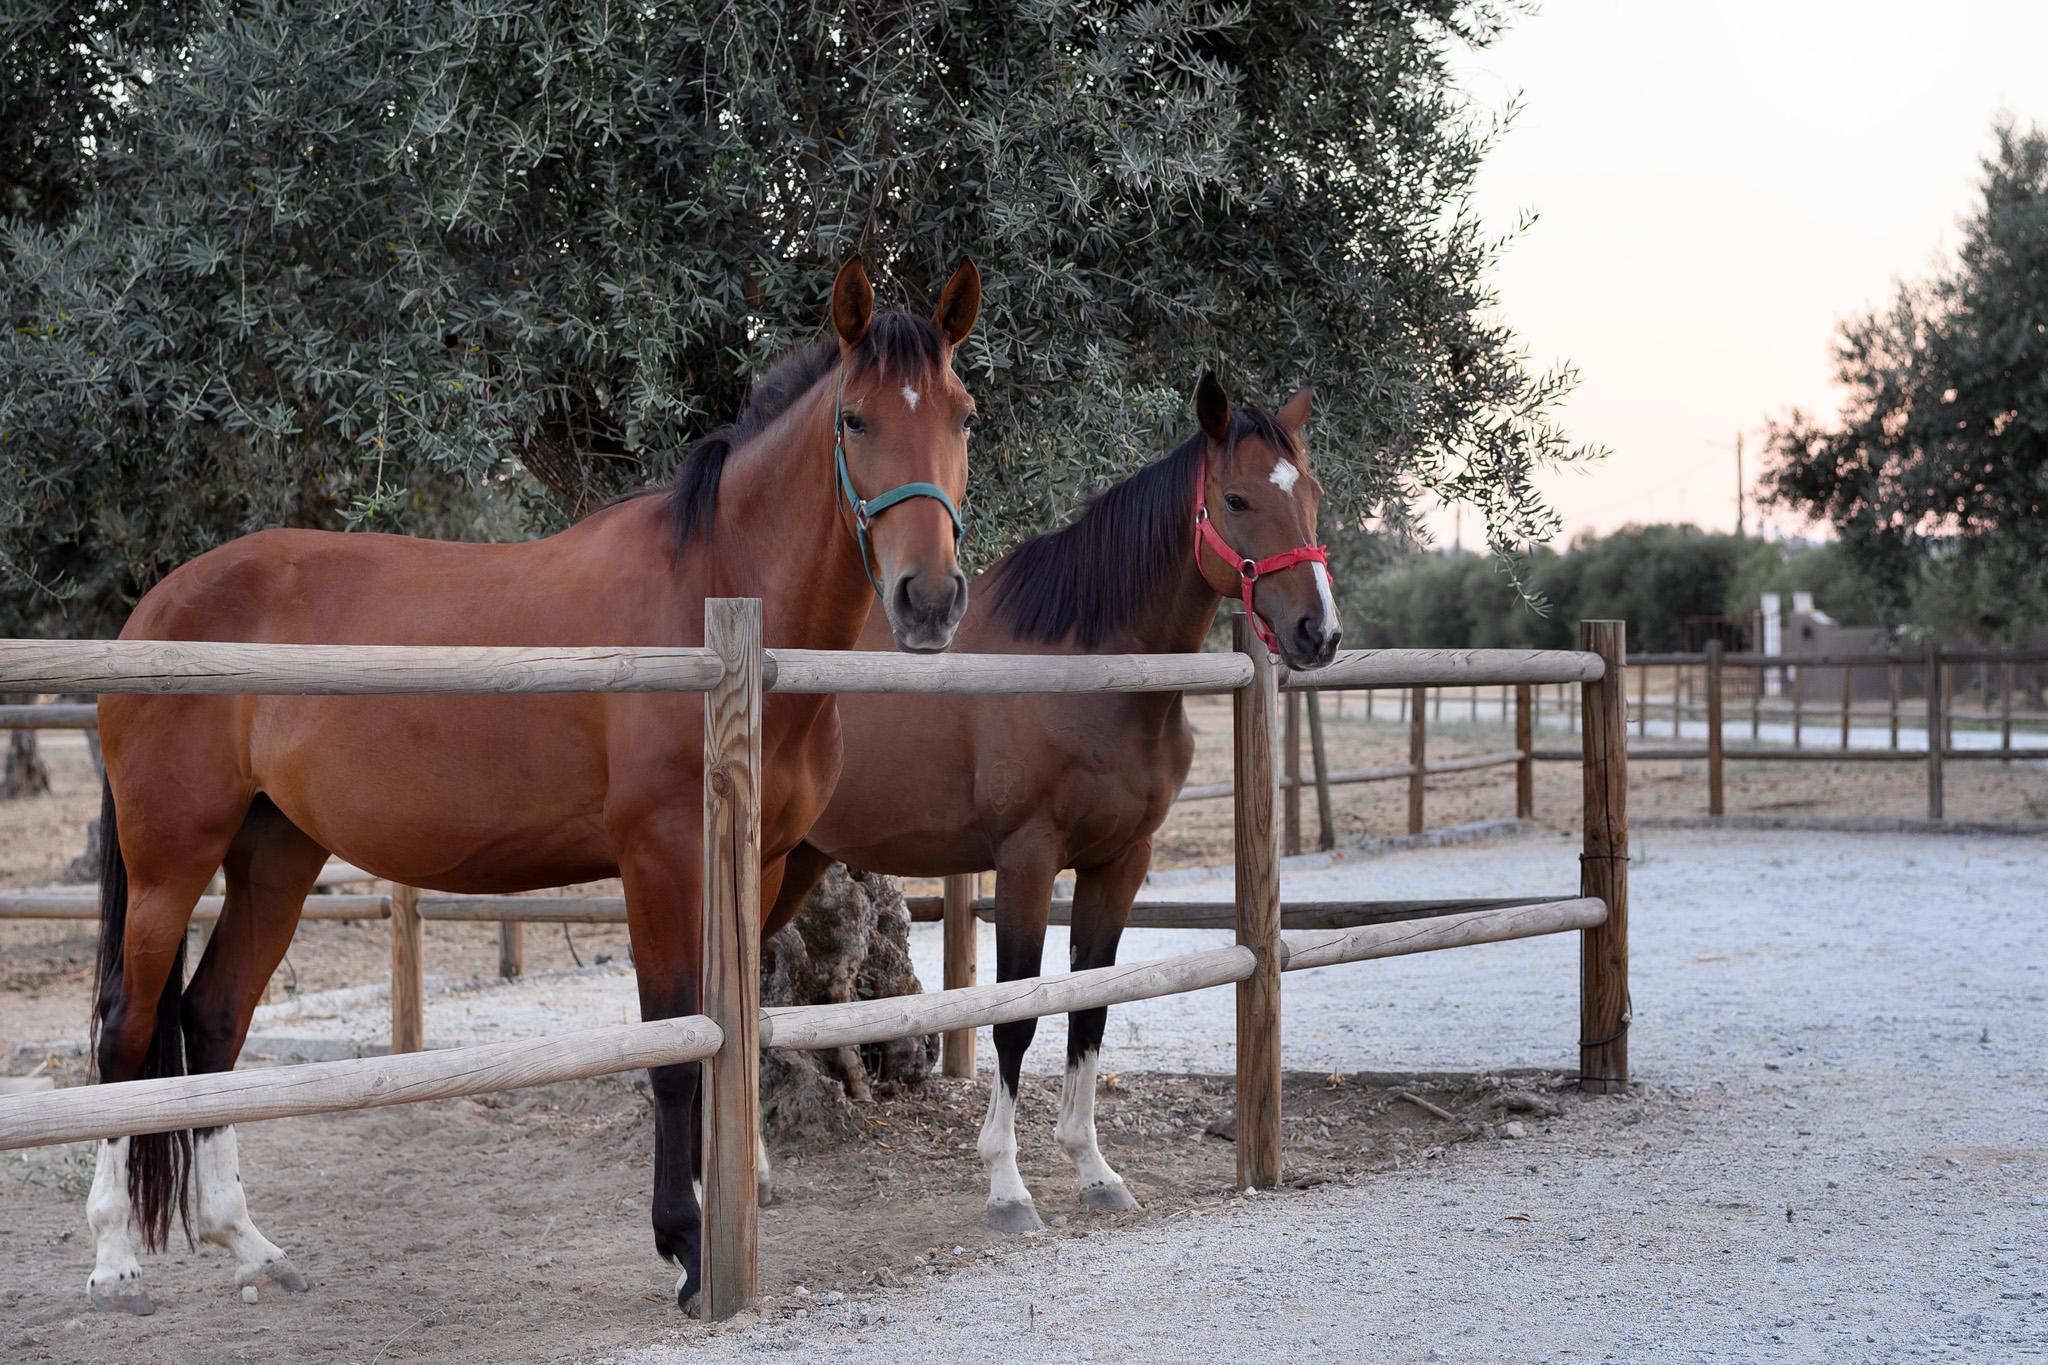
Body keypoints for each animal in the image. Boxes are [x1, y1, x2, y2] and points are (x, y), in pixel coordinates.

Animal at [94, 255, 983, 1309]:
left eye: (965, 415)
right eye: (855, 418)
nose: (929, 600)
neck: (716, 600)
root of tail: (153, 609)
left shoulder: (758, 865)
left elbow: (731, 1031)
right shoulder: (659, 860)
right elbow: (673, 1043)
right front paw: (686, 1244)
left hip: (276, 852)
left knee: (213, 1020)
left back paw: (249, 1243)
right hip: (170, 861)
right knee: (125, 1028)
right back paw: (112, 1256)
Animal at [761, 368, 1335, 1236]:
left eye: (1312, 493)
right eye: (1237, 499)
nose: (1318, 631)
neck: (1086, 666)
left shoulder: (1120, 862)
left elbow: (1090, 1006)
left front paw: (1095, 1171)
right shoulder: (1026, 861)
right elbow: (1018, 1014)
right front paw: (1008, 1187)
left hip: (798, 860)